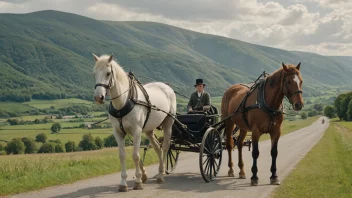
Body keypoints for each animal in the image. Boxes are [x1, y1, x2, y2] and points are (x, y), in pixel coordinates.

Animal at [93, 53, 177, 191]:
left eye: (108, 73)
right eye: (94, 73)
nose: (98, 97)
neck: (123, 102)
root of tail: (166, 86)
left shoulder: (137, 131)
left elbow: (136, 156)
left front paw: (138, 181)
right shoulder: (118, 132)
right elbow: (122, 156)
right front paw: (123, 183)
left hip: (168, 122)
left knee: (165, 147)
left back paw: (160, 175)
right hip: (149, 129)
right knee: (157, 148)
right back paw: (160, 170)